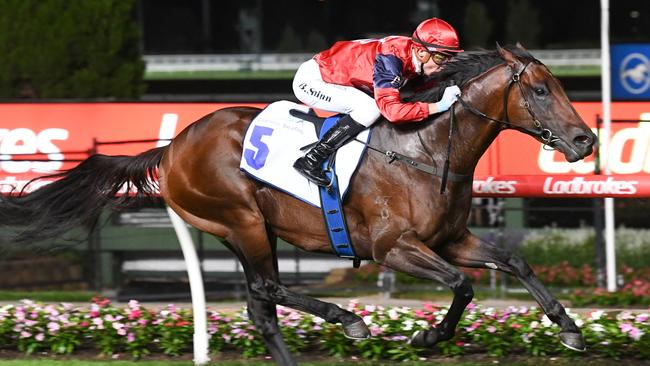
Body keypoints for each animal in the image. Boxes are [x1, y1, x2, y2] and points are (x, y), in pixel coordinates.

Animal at [2, 45, 596, 364]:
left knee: (261, 309)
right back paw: (347, 319)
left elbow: (514, 261)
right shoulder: (392, 248)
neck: (425, 147)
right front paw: (428, 333)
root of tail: (170, 148)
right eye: (540, 90)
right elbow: (462, 285)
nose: (585, 140)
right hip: (240, 219)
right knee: (268, 289)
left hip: (241, 228)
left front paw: (568, 328)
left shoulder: (451, 238)